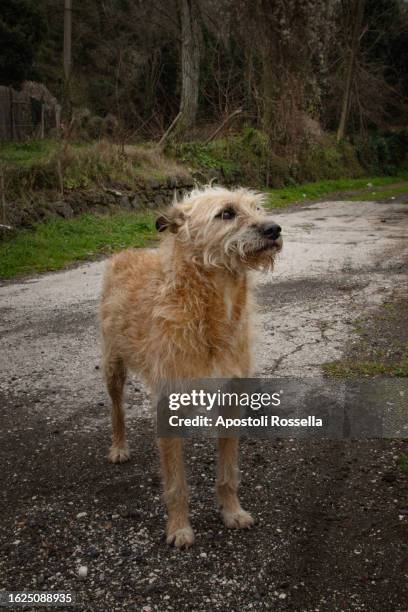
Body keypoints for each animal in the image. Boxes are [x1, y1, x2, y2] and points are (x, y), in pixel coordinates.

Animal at [100, 184, 282, 548]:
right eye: (226, 213)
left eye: (257, 208)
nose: (274, 229)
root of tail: (124, 252)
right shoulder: (169, 403)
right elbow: (176, 482)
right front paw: (179, 527)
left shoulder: (231, 399)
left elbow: (227, 472)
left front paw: (231, 511)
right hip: (113, 365)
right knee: (116, 408)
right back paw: (119, 446)